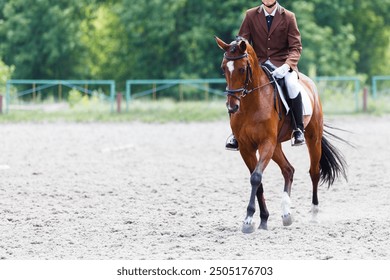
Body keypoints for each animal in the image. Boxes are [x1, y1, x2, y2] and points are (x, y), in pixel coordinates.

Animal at [216, 36, 348, 233]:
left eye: (242, 69)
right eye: (224, 68)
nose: (232, 107)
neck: (252, 103)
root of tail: (309, 83)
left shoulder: (266, 143)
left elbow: (256, 177)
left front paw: (248, 220)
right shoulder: (247, 148)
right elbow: (258, 181)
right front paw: (261, 219)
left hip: (312, 138)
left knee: (314, 172)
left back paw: (313, 214)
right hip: (276, 146)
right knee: (288, 170)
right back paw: (286, 214)